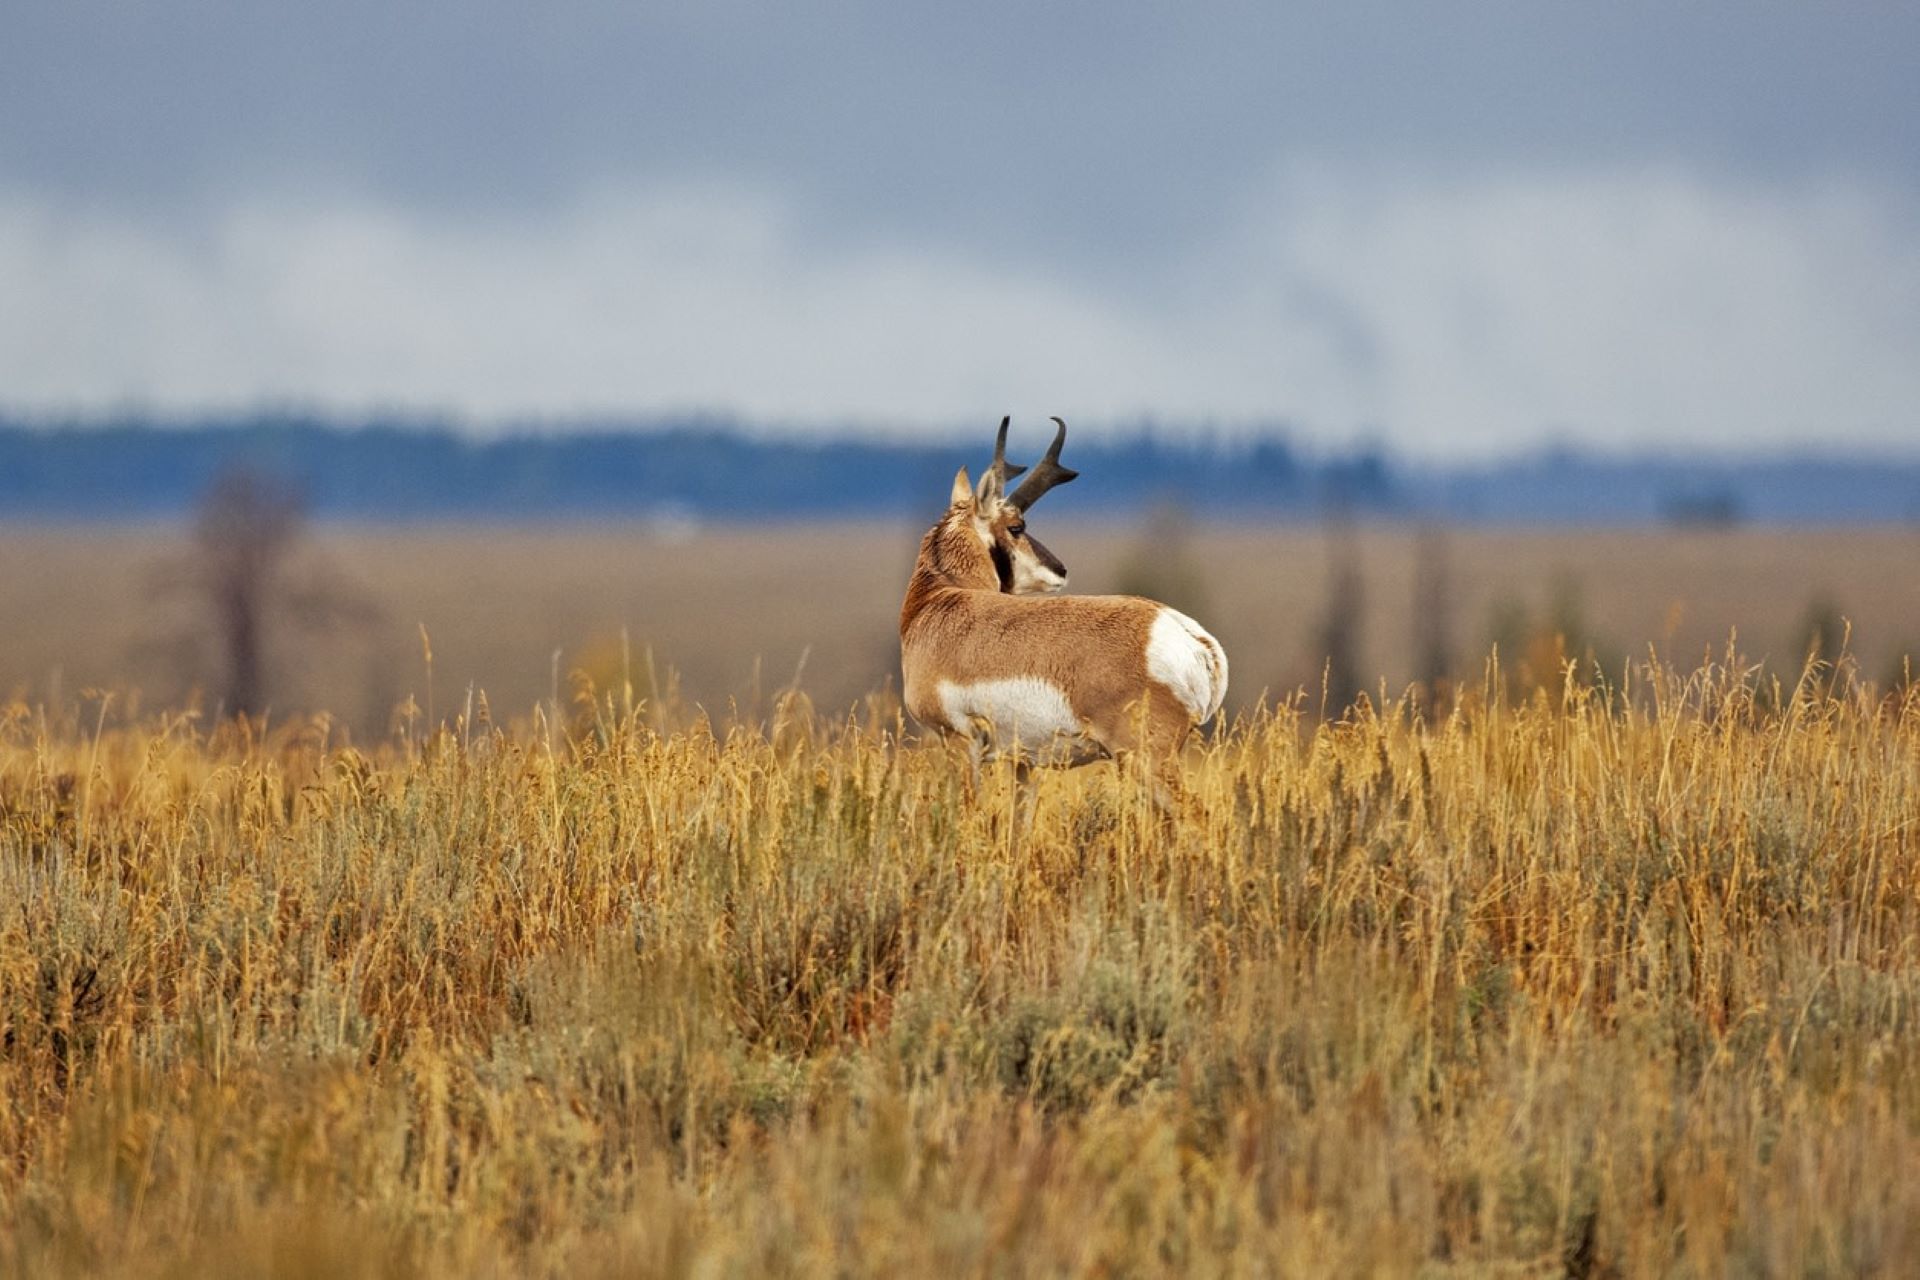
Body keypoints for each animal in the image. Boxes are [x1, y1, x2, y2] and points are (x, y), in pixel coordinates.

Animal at [898, 418, 1228, 802]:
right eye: (1016, 527)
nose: (1061, 570)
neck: (939, 597)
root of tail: (1191, 636)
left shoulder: (959, 744)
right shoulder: (1024, 763)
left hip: (1146, 760)